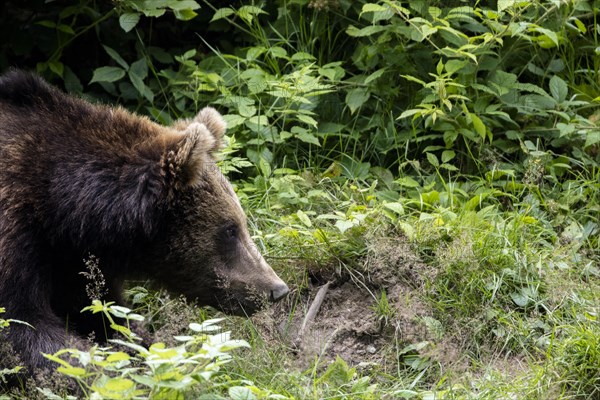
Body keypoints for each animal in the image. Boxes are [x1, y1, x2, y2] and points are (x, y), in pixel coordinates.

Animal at [0, 69, 288, 372]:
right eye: (230, 229)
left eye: (240, 222)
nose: (277, 290)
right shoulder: (18, 232)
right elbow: (25, 326)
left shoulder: (75, 262)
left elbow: (106, 315)